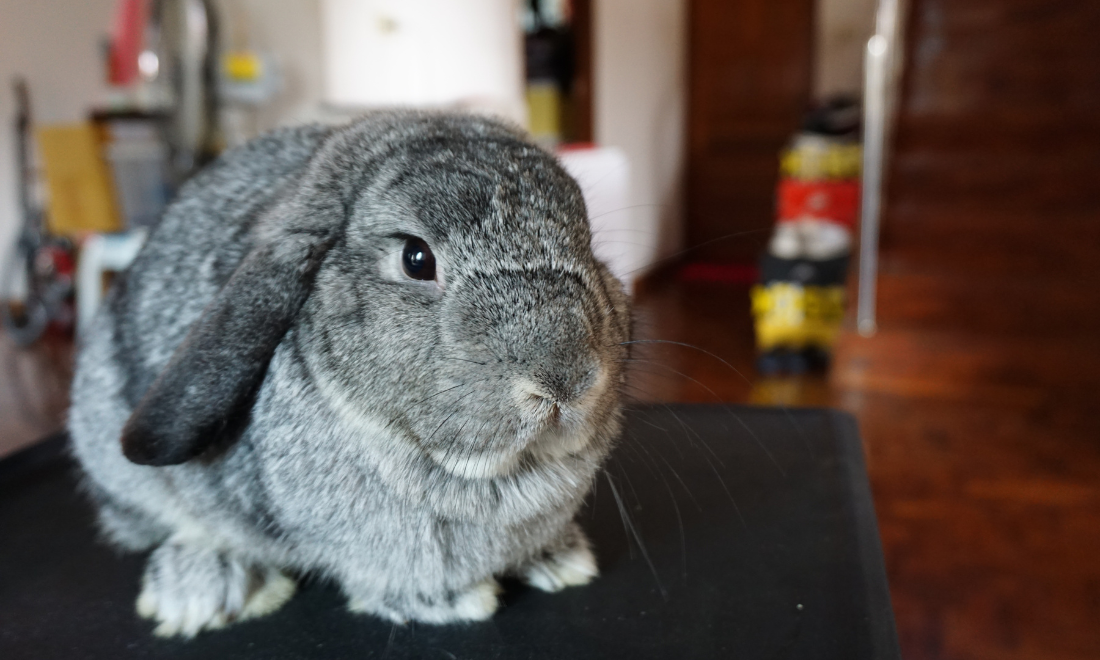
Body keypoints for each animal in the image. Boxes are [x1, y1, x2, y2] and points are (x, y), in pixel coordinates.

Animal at [68, 111, 633, 638]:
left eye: (587, 242)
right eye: (416, 258)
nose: (565, 379)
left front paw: (561, 559)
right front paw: (452, 602)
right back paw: (202, 588)